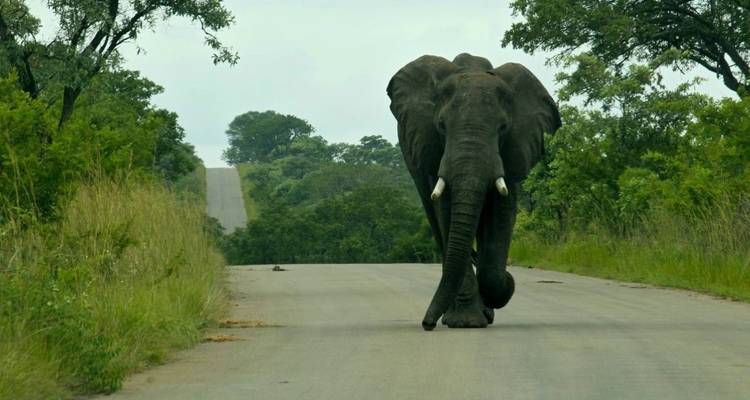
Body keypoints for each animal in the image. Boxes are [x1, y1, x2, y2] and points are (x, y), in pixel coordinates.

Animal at [387, 53, 561, 330]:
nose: (426, 324)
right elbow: (447, 214)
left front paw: (501, 289)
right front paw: (465, 322)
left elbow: (501, 216)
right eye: (441, 126)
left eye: (503, 128)